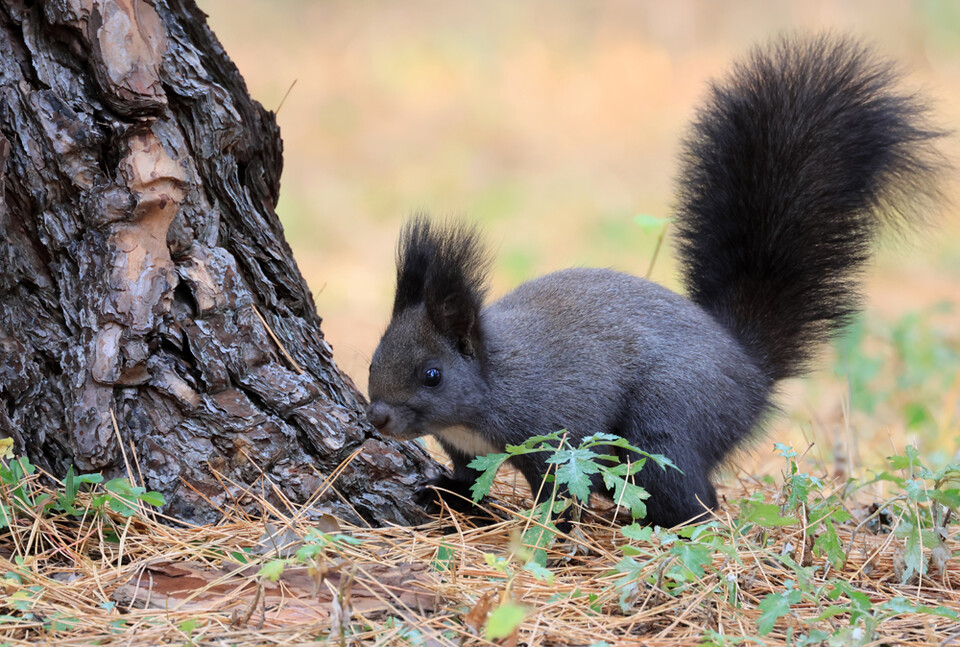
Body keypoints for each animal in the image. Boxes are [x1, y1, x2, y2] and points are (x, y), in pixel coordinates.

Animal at [366, 35, 944, 528]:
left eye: (433, 374)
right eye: (373, 359)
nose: (377, 419)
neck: (492, 379)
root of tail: (749, 367)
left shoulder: (553, 433)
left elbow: (558, 493)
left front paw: (549, 533)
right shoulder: (466, 449)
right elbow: (468, 482)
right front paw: (442, 495)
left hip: (666, 423)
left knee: (693, 498)